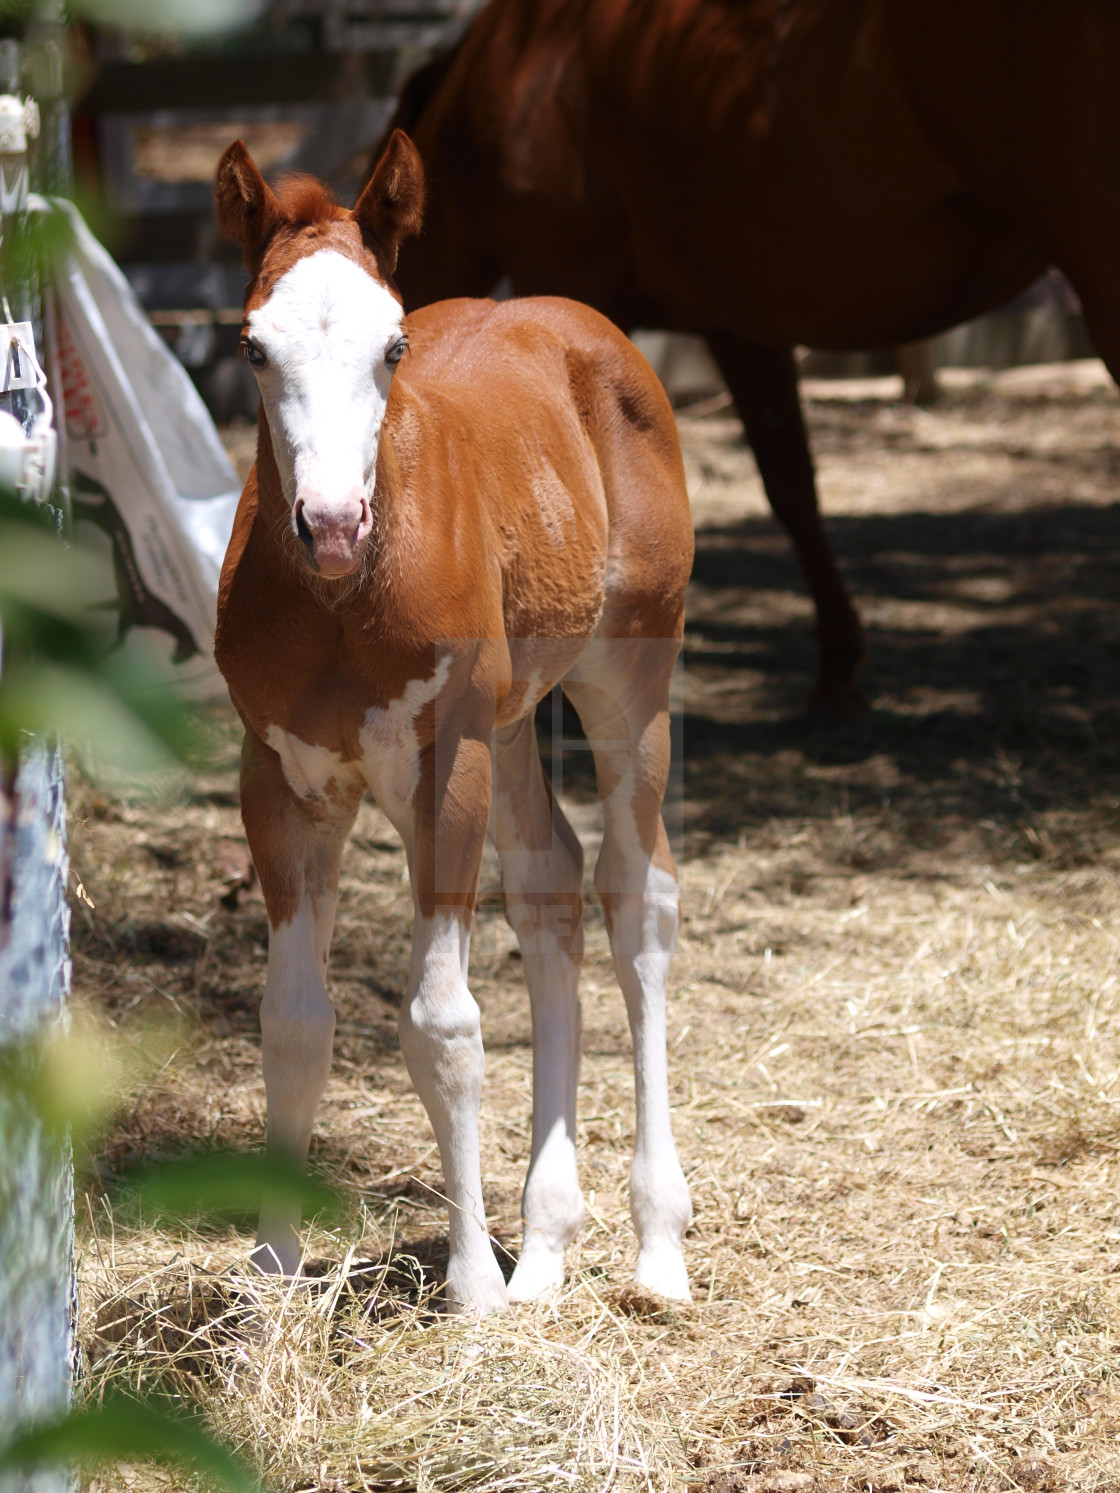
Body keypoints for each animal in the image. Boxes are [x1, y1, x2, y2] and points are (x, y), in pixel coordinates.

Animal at [212, 134, 692, 1313]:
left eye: (394, 345)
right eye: (252, 346)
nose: (333, 523)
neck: (342, 600)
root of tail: (583, 324)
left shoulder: (447, 762)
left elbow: (444, 1025)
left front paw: (471, 1285)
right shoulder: (280, 778)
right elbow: (294, 1023)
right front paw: (272, 1268)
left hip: (628, 680)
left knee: (637, 894)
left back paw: (655, 1245)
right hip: (514, 720)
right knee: (550, 880)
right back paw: (548, 1247)